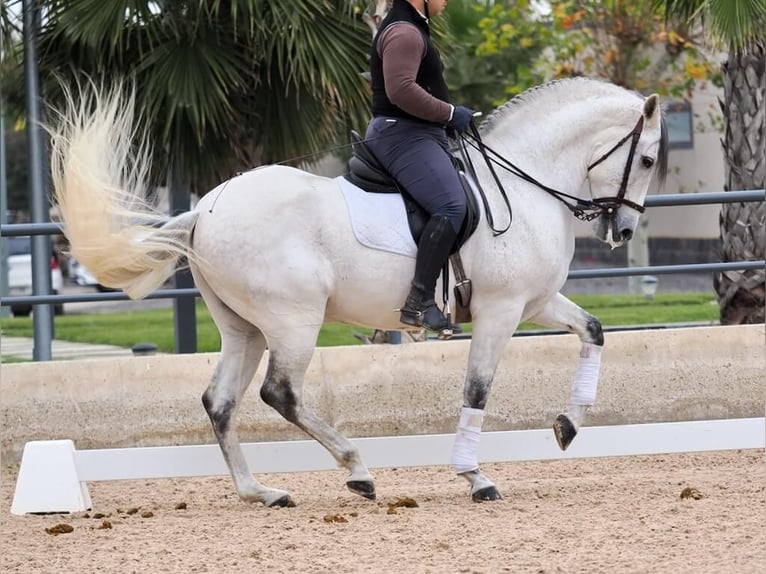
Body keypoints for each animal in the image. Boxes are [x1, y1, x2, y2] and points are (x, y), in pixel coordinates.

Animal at [51, 77, 668, 508]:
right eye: (646, 159)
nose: (623, 233)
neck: (522, 184)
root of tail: (204, 208)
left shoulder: (534, 303)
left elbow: (594, 332)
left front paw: (569, 426)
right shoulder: (501, 309)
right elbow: (477, 390)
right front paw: (475, 477)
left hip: (244, 328)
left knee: (220, 402)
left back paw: (262, 493)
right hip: (293, 321)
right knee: (281, 393)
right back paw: (357, 469)